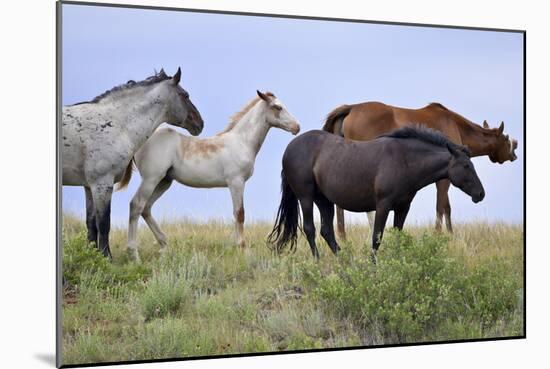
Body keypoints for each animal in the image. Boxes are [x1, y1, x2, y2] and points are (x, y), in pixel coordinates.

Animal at [126, 90, 302, 260]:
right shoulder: (236, 182)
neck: (242, 142)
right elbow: (239, 213)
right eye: (278, 107)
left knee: (146, 208)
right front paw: (244, 249)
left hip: (164, 181)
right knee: (136, 205)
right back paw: (134, 254)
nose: (297, 127)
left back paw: (164, 245)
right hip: (151, 179)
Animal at [270, 128, 486, 260]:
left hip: (324, 201)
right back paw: (318, 261)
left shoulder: (402, 208)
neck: (404, 160)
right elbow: (376, 238)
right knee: (310, 229)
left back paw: (345, 261)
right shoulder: (383, 205)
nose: (480, 193)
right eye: (466, 166)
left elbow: (398, 236)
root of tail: (289, 149)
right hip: (306, 197)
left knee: (327, 231)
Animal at [322, 102, 520, 237]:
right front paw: (440, 234)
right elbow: (441, 206)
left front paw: (450, 234)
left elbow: (446, 207)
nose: (514, 153)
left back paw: (343, 236)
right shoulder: (444, 179)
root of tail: (351, 108)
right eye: (505, 138)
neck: (456, 125)